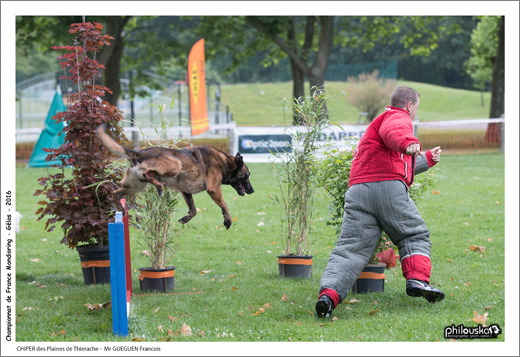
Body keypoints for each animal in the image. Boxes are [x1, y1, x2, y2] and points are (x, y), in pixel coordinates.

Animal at [96, 123, 255, 228]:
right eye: (247, 175)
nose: (252, 191)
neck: (224, 162)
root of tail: (139, 153)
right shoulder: (214, 189)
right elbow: (224, 205)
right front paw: (228, 219)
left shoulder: (186, 191)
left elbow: (193, 210)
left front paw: (186, 219)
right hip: (175, 165)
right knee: (148, 174)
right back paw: (159, 186)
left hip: (136, 187)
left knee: (116, 193)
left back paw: (121, 209)